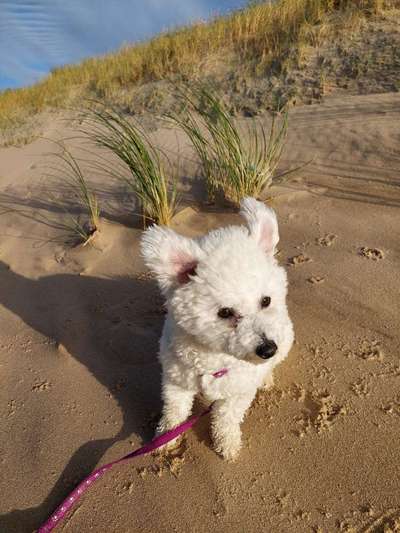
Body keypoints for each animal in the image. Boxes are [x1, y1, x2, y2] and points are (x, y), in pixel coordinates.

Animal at [141, 197, 294, 460]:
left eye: (266, 301)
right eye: (225, 313)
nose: (267, 350)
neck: (214, 363)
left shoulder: (237, 393)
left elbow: (226, 419)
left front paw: (227, 443)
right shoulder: (176, 382)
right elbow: (175, 410)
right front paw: (166, 436)